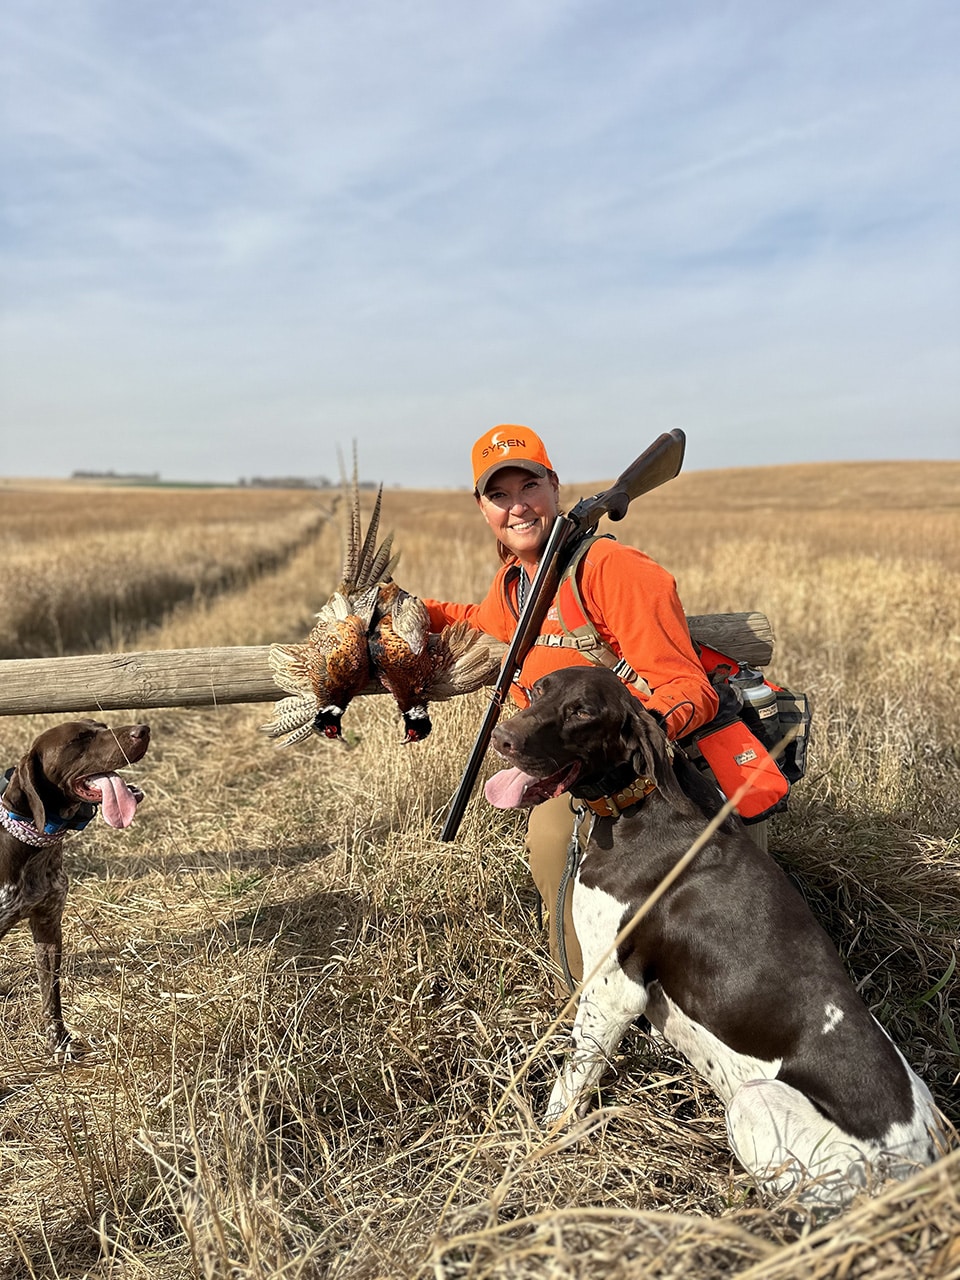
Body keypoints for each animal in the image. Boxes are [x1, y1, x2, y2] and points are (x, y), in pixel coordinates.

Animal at [0, 716, 150, 1054]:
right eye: (80, 738)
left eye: (102, 726)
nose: (143, 730)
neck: (31, 846)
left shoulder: (48, 926)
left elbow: (51, 995)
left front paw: (60, 1044)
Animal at [488, 670, 947, 1208]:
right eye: (538, 690)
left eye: (582, 711)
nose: (502, 737)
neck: (640, 801)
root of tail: (923, 1169)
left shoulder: (611, 992)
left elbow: (570, 1082)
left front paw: (537, 1142)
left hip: (756, 1101)